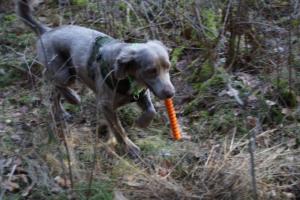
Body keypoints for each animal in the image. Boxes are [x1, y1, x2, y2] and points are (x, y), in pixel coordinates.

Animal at [17, 0, 176, 156]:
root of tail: (47, 31)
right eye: (151, 71)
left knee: (54, 95)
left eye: (168, 67)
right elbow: (118, 129)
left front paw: (142, 123)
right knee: (54, 83)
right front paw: (129, 147)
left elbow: (151, 110)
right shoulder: (105, 105)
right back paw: (73, 97)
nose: (170, 93)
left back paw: (62, 112)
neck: (127, 78)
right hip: (64, 74)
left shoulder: (141, 94)